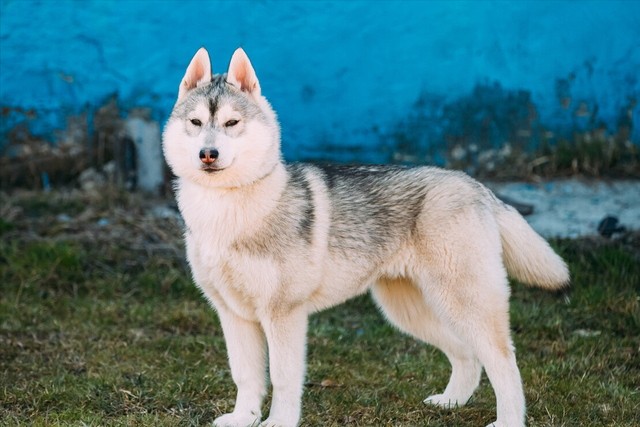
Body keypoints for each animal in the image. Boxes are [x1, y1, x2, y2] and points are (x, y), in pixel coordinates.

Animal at [164, 47, 568, 427]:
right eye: (195, 122)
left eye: (232, 122)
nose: (208, 154)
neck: (229, 209)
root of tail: (474, 184)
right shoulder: (234, 315)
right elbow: (246, 375)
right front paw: (243, 419)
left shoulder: (284, 314)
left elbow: (281, 378)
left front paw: (278, 422)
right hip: (411, 313)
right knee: (467, 355)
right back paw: (451, 402)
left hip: (464, 306)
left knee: (505, 362)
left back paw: (508, 420)